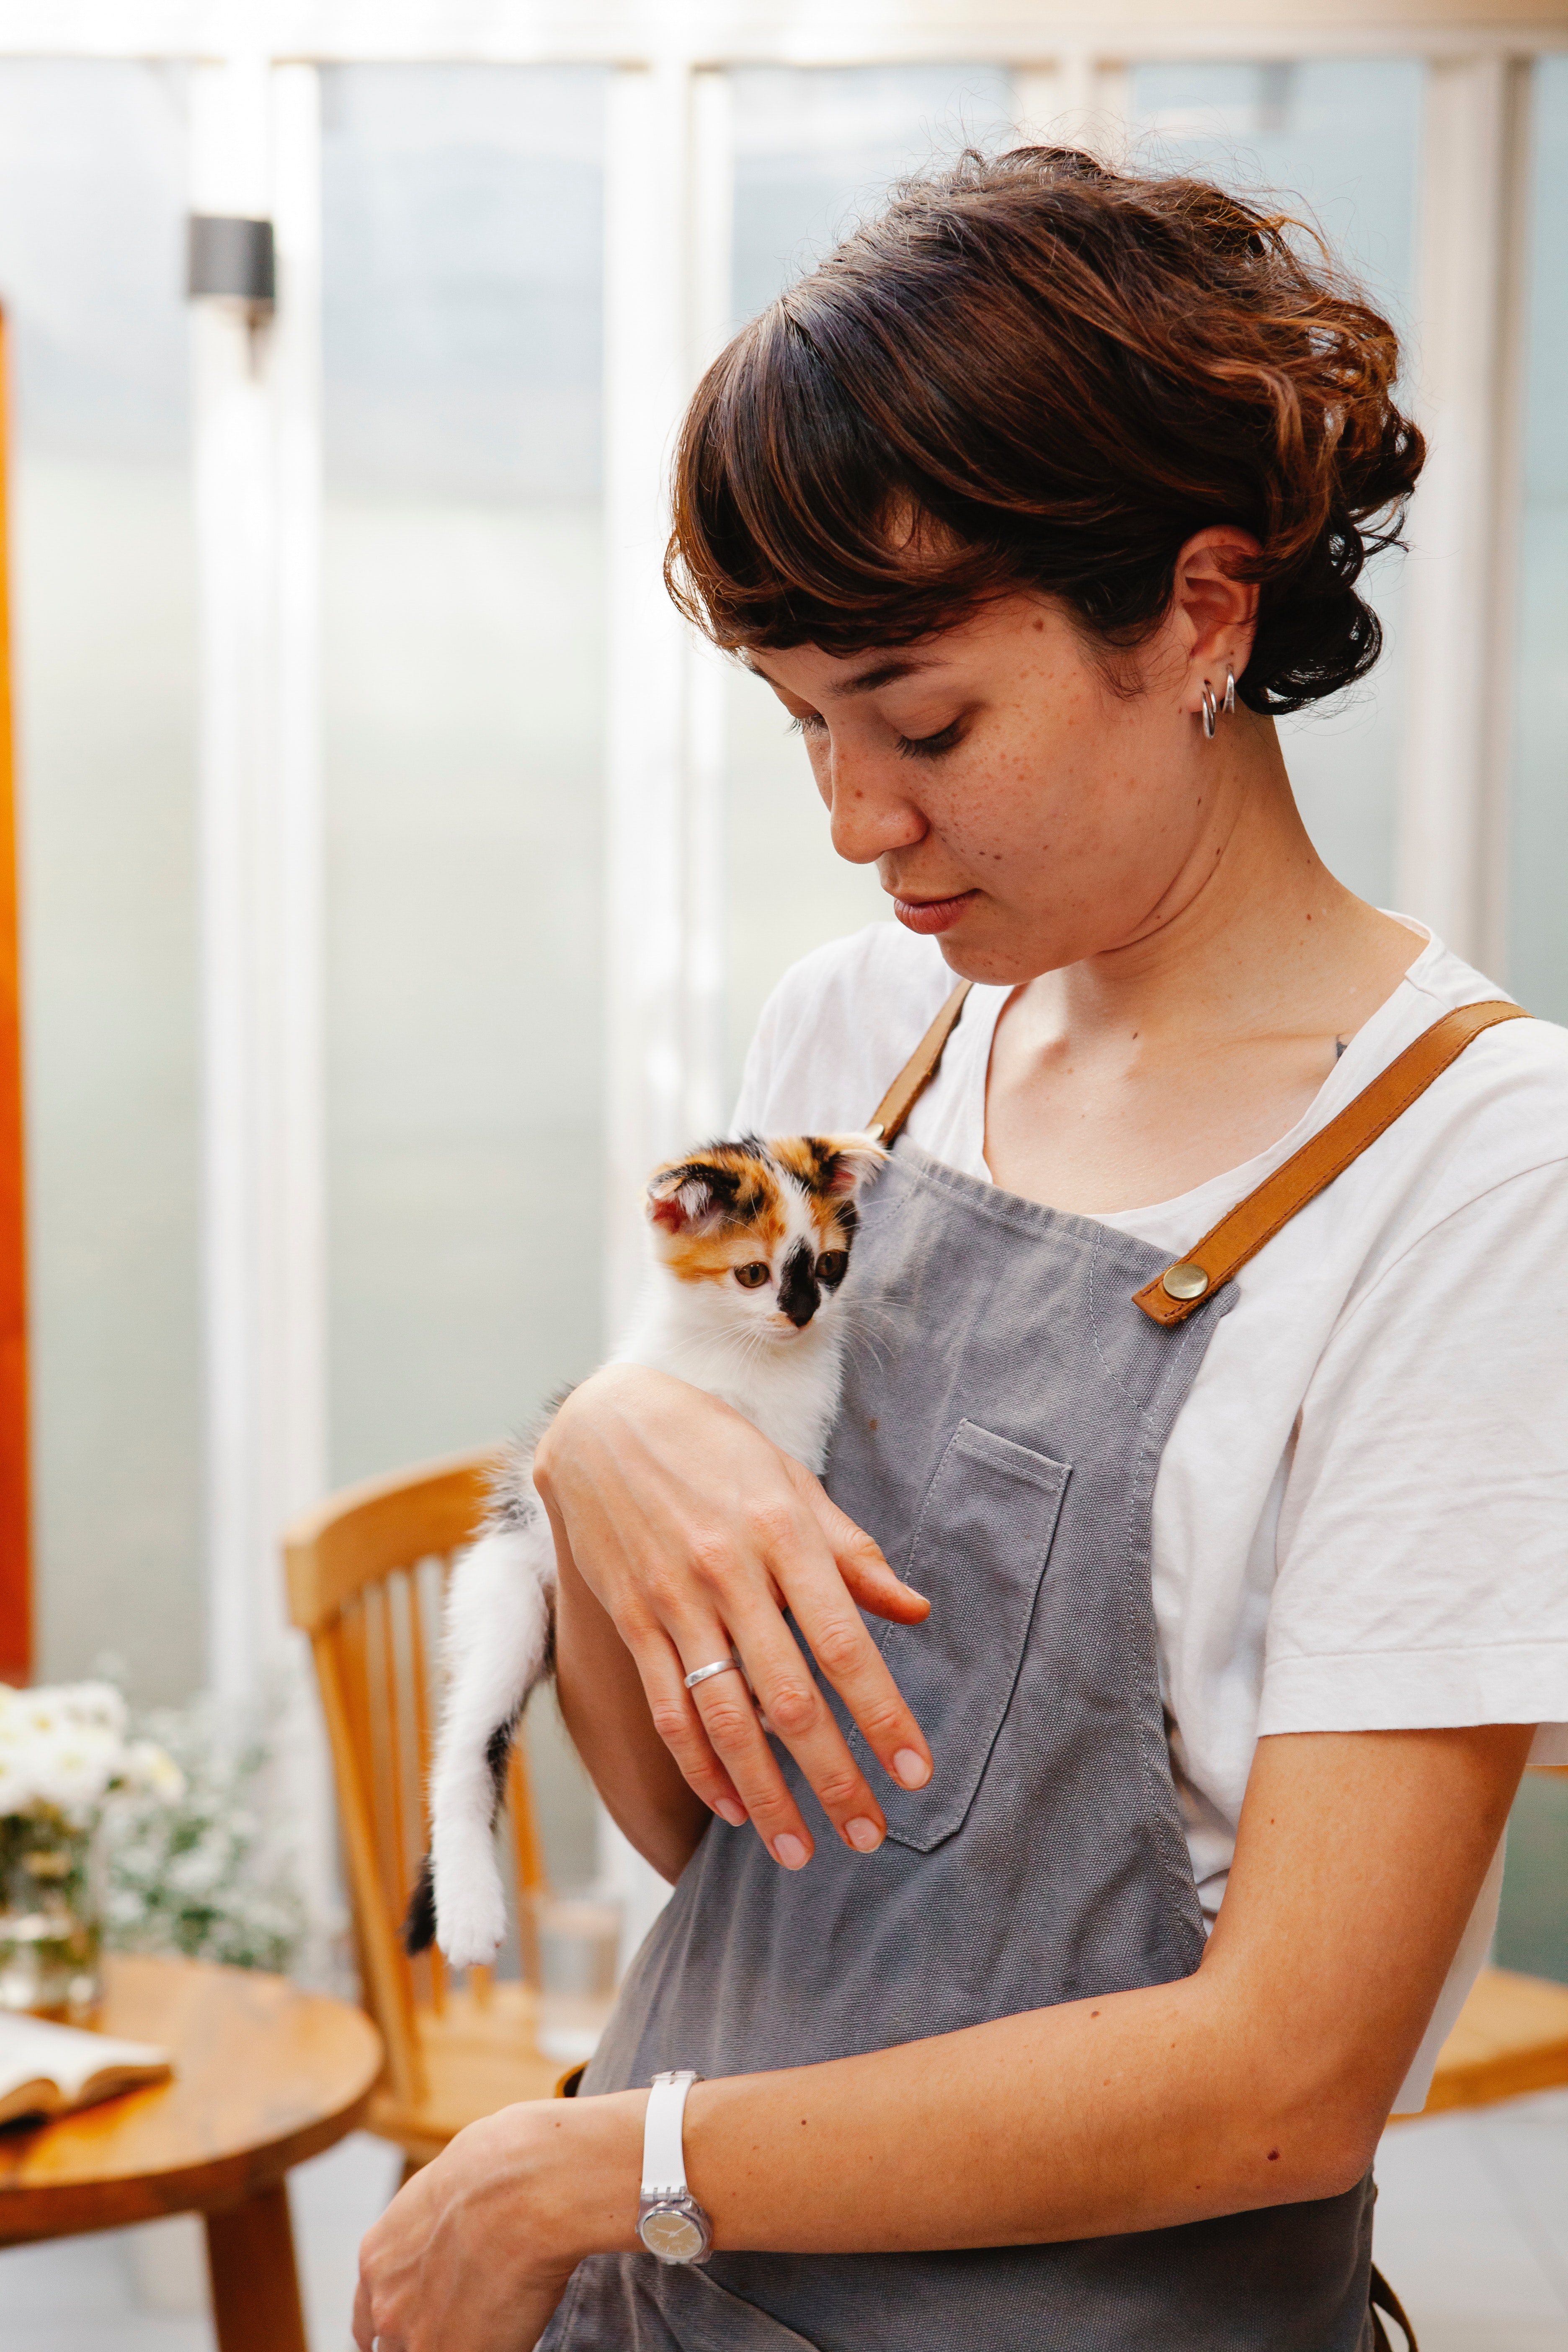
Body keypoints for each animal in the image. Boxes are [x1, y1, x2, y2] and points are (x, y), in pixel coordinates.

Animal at [404, 1129, 888, 1975]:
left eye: (829, 1265)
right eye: (753, 1273)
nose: (801, 1315)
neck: (747, 1364)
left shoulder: (795, 1452)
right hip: (508, 1594)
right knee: (465, 1749)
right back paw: (467, 1909)